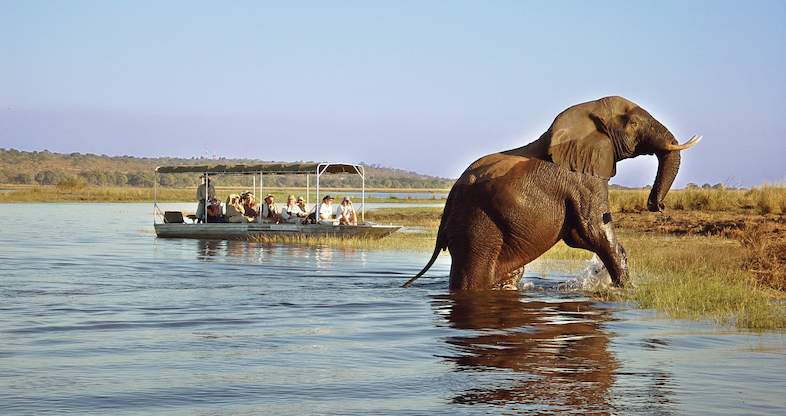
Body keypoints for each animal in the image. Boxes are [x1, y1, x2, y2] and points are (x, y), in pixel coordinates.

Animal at [403, 96, 701, 290]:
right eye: (634, 123)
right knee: (474, 277)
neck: (587, 113)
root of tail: (449, 203)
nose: (657, 205)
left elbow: (579, 235)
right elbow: (593, 231)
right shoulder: (583, 179)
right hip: (476, 227)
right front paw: (626, 290)